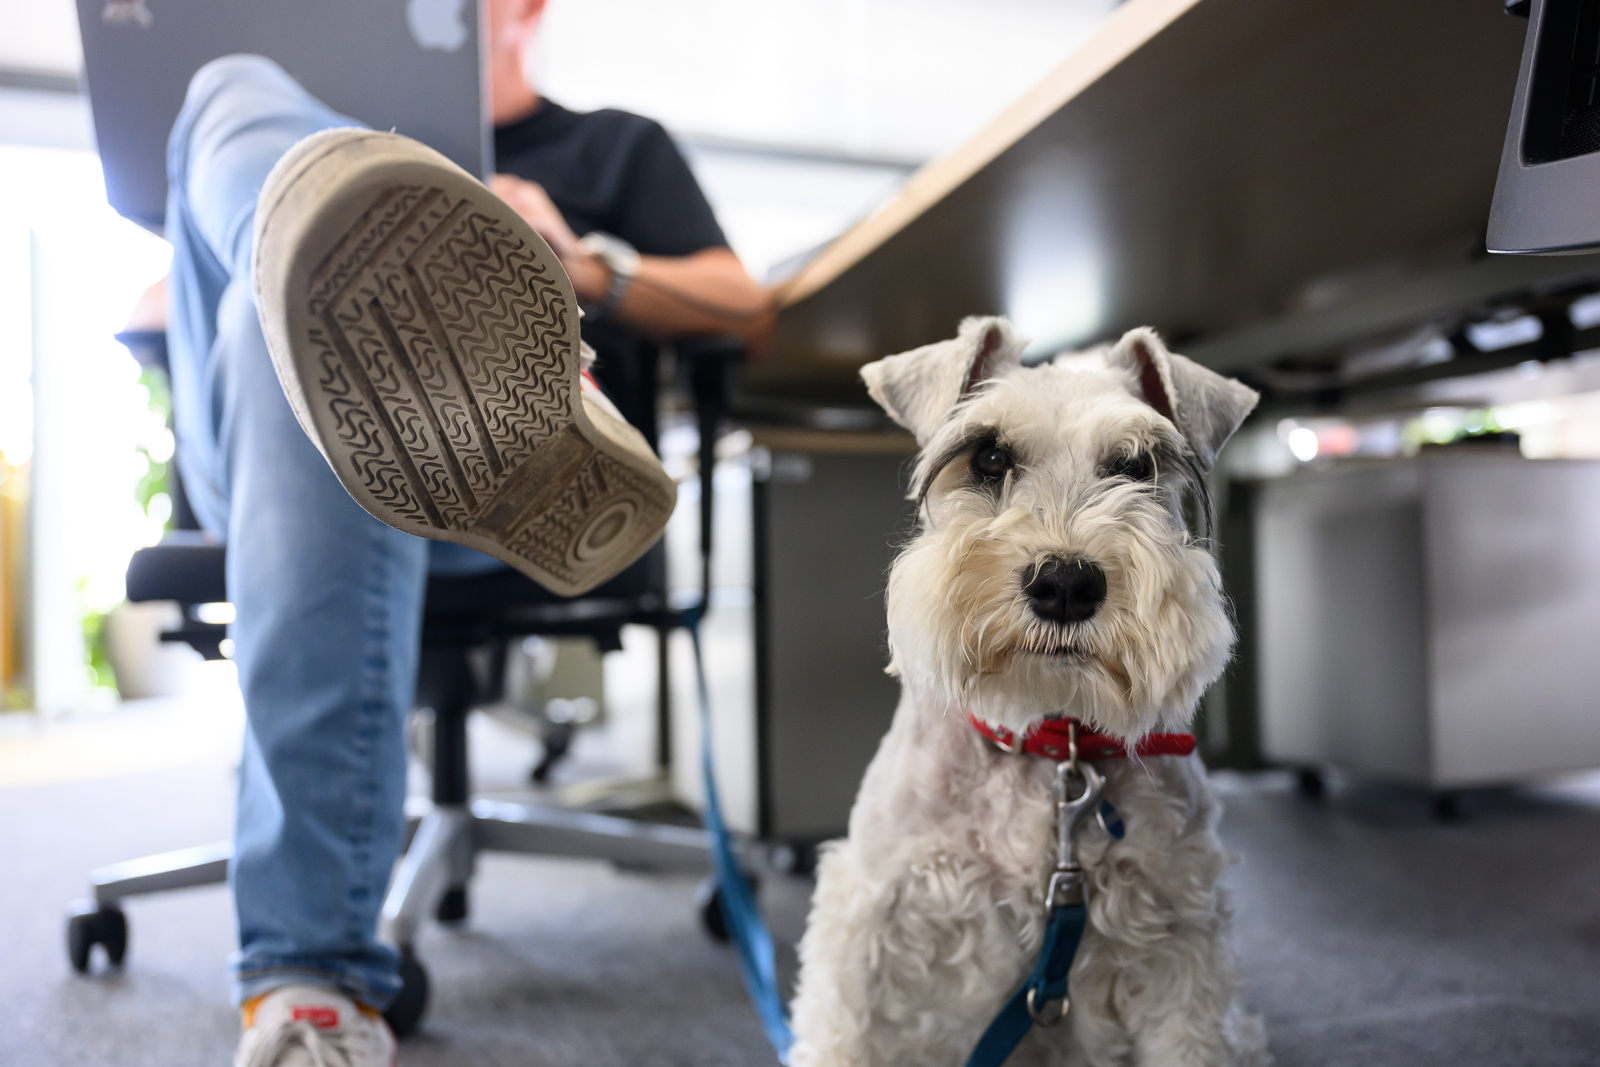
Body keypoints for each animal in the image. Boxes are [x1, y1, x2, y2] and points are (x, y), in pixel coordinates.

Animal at [784, 316, 1260, 1067]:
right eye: (988, 456)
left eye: (1137, 466)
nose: (1065, 582)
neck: (1050, 740)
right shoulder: (873, 917)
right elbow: (846, 1034)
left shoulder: (1181, 938)